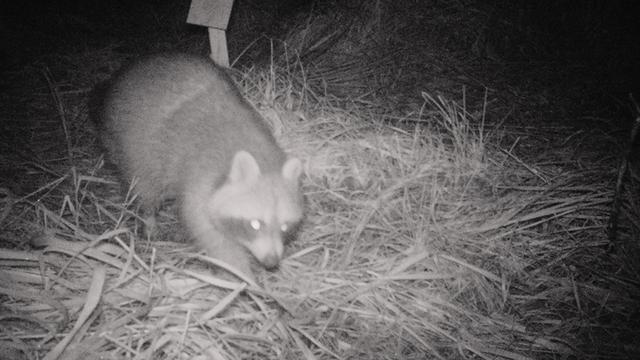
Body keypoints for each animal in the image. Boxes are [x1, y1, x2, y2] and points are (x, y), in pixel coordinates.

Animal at [96, 53, 304, 280]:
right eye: (255, 224)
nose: (271, 262)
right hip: (132, 145)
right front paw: (241, 275)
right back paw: (149, 221)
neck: (258, 152)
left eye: (285, 226)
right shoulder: (200, 181)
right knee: (145, 187)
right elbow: (213, 238)